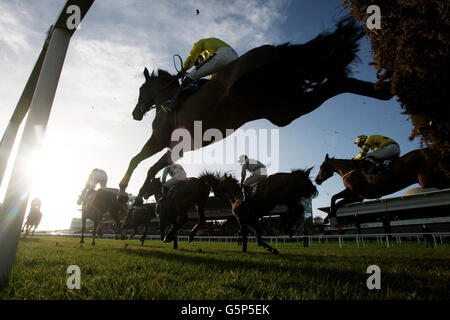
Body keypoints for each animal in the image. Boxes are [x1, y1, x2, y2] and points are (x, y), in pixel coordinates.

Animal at [119, 18, 394, 202]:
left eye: (141, 89)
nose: (135, 113)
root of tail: (275, 51)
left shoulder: (171, 144)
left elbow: (148, 166)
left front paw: (135, 192)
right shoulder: (166, 143)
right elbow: (138, 160)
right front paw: (129, 189)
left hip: (281, 108)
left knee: (336, 84)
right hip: (283, 106)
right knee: (339, 82)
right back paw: (384, 88)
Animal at [314, 149, 450, 224]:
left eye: (321, 166)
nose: (316, 180)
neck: (350, 169)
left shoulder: (354, 191)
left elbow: (333, 197)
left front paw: (329, 217)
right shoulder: (358, 196)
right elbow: (338, 202)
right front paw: (329, 217)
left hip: (426, 179)